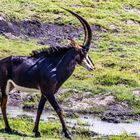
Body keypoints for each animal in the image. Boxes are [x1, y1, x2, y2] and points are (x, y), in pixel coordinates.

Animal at [0, 9, 95, 139]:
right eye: (83, 52)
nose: (92, 67)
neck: (55, 66)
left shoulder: (44, 93)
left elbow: (40, 109)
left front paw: (36, 131)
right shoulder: (49, 92)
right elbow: (59, 109)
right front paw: (68, 133)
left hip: (10, 87)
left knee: (3, 104)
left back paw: (8, 128)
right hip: (4, 87)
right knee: (3, 105)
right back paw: (8, 128)